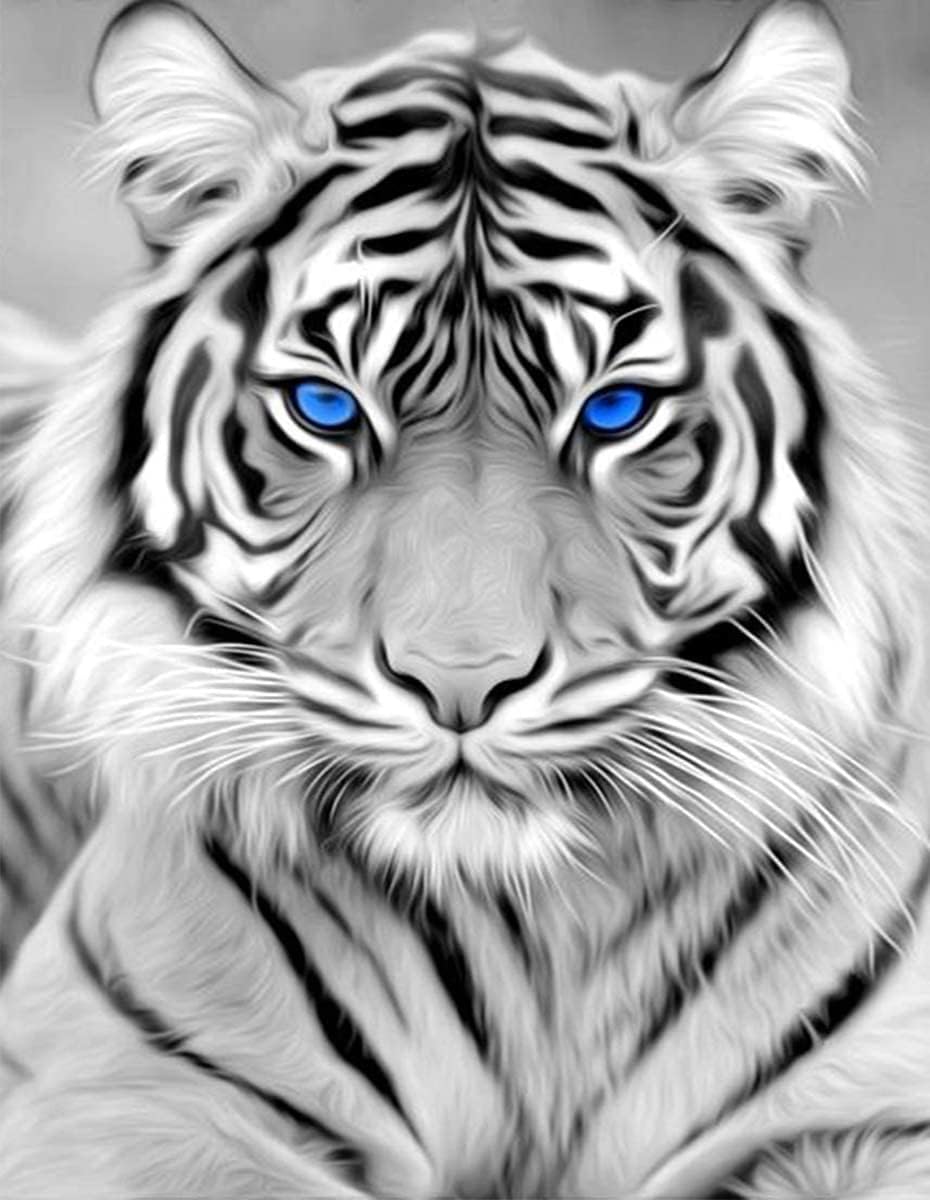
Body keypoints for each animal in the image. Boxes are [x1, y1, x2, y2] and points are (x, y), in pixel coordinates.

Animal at [1, 0, 929, 1196]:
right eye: (324, 405)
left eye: (614, 409)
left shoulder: (873, 1109)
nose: (461, 688)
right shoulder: (111, 1090)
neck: (539, 943)